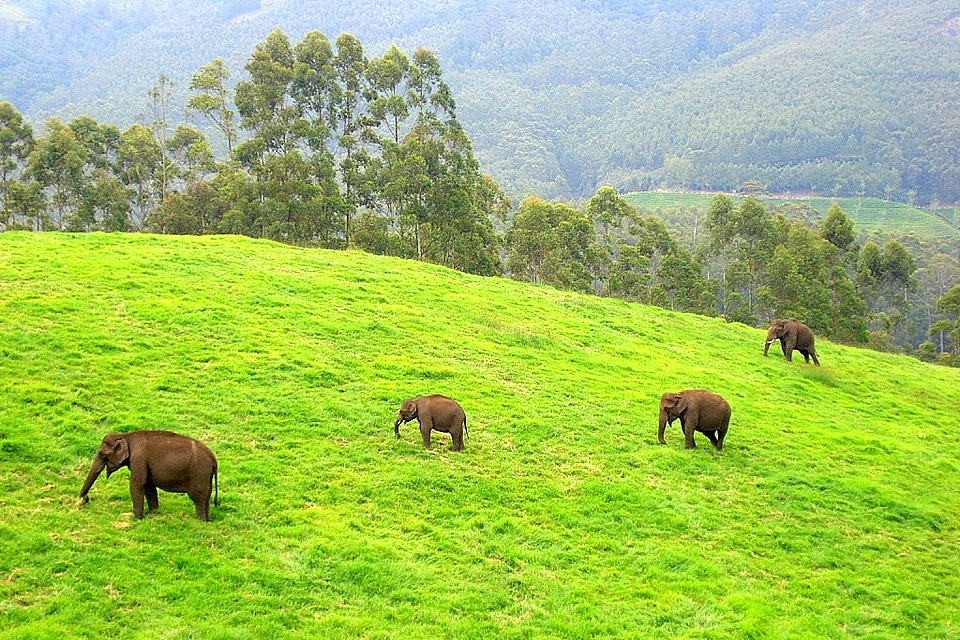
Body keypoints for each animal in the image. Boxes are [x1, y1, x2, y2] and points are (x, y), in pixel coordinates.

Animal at [77, 430, 219, 520]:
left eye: (101, 454)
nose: (85, 499)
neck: (126, 436)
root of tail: (213, 458)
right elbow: (149, 486)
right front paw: (154, 513)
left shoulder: (138, 458)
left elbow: (137, 484)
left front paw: (137, 518)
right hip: (206, 476)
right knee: (206, 497)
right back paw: (207, 520)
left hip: (199, 473)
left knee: (198, 498)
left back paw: (199, 521)